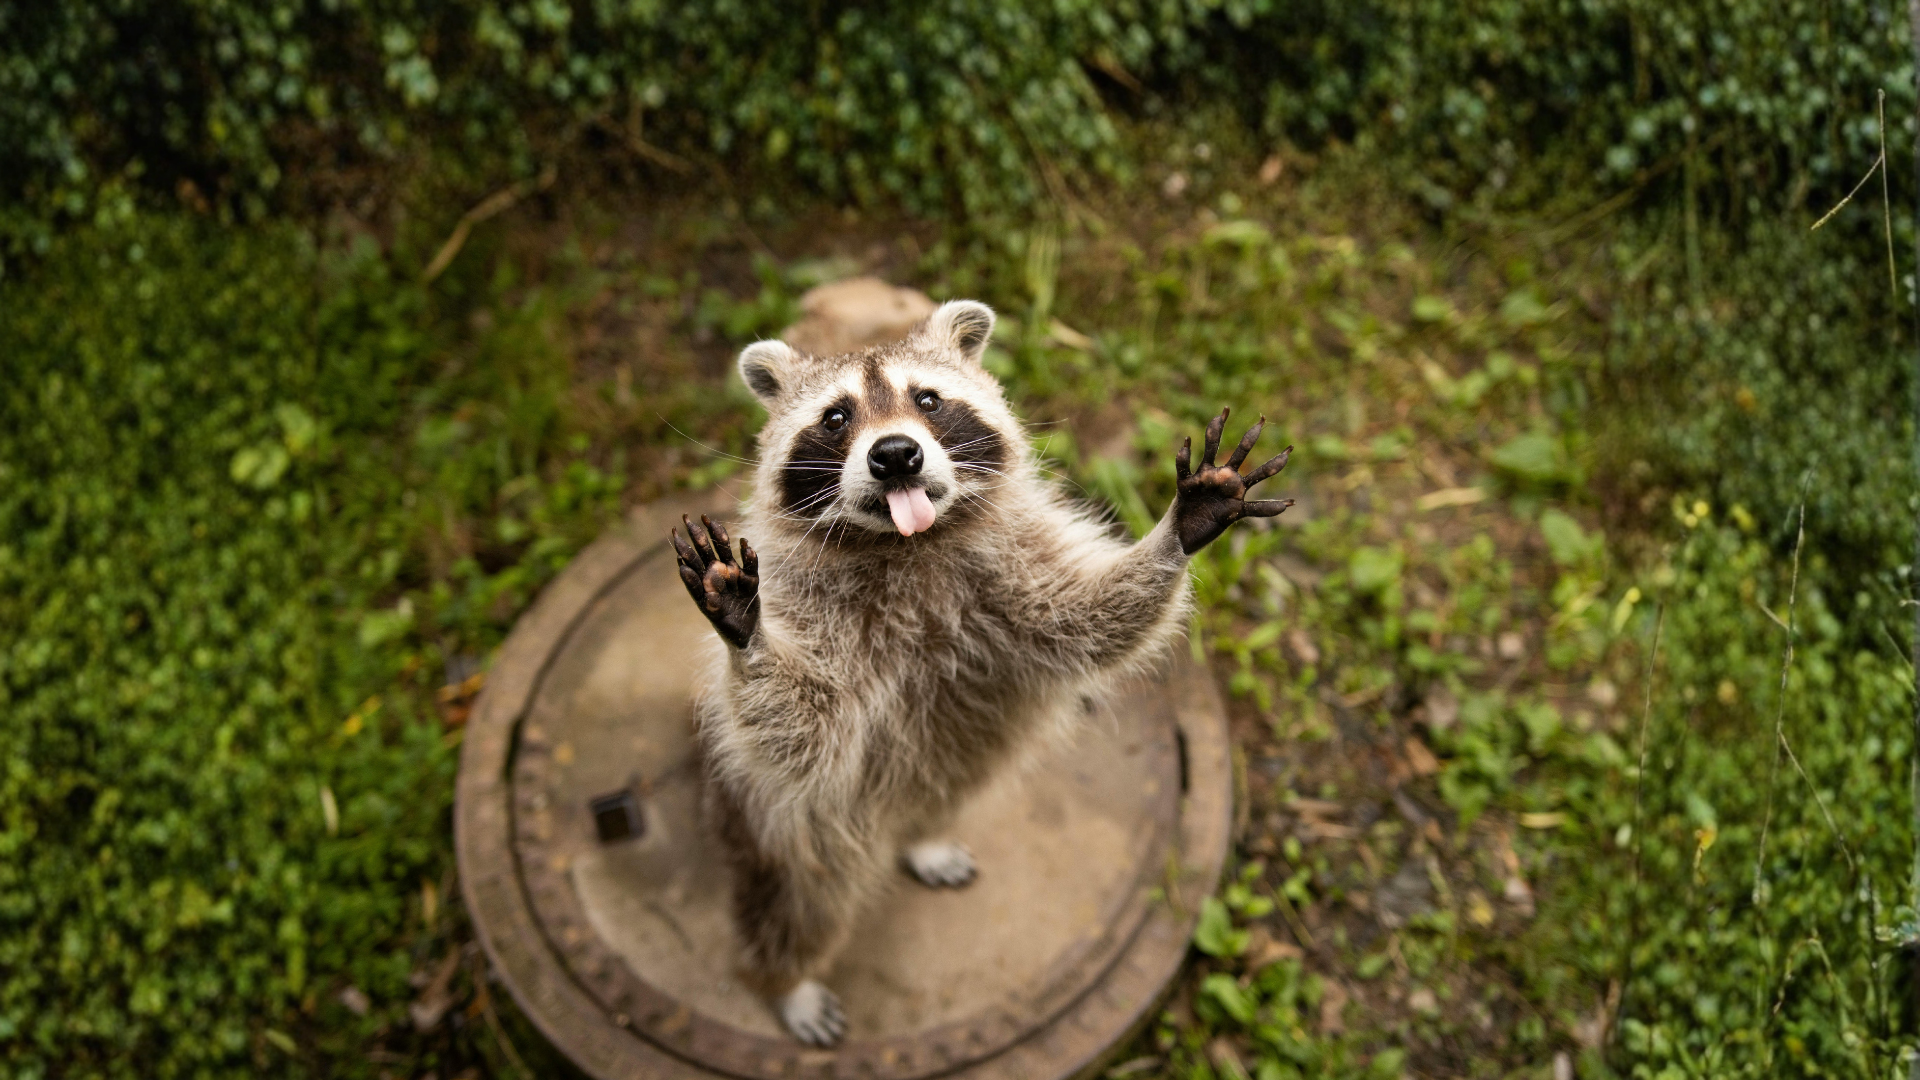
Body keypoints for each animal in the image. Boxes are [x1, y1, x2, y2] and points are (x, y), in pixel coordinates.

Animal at [669, 300, 1292, 1045]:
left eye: (928, 400)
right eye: (837, 417)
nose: (895, 454)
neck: (910, 543)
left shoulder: (1019, 569)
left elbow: (1092, 619)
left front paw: (1181, 525)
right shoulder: (810, 615)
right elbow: (801, 732)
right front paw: (749, 633)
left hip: (956, 762)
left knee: (945, 788)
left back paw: (924, 836)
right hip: (785, 831)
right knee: (799, 904)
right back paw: (788, 981)